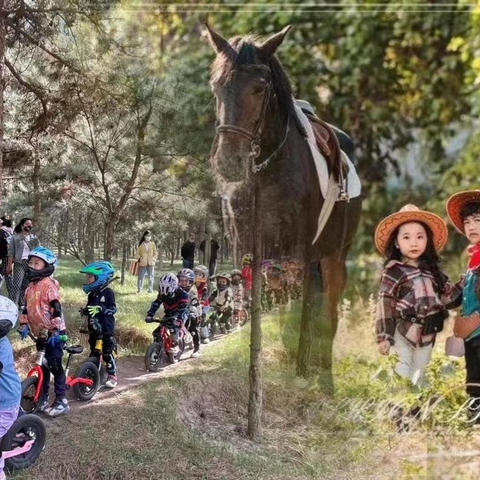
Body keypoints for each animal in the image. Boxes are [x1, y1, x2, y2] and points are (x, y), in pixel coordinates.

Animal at [205, 23, 360, 390]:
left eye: (260, 88)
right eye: (216, 86)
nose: (229, 163)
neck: (267, 169)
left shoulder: (302, 248)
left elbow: (303, 310)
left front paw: (301, 369)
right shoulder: (245, 243)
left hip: (335, 255)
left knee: (329, 310)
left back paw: (322, 369)